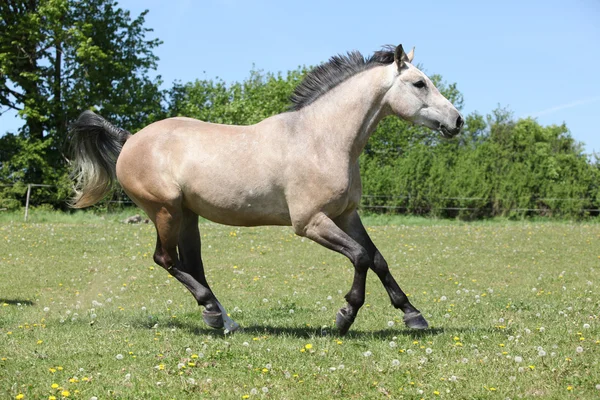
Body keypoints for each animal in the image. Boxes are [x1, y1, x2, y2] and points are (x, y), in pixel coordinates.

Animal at [71, 44, 464, 334]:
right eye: (419, 83)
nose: (457, 121)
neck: (322, 140)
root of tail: (130, 138)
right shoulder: (310, 222)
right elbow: (361, 257)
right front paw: (344, 316)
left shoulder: (346, 215)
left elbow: (378, 258)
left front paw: (413, 315)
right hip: (164, 211)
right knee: (166, 260)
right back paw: (213, 312)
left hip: (188, 215)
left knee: (193, 265)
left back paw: (222, 319)